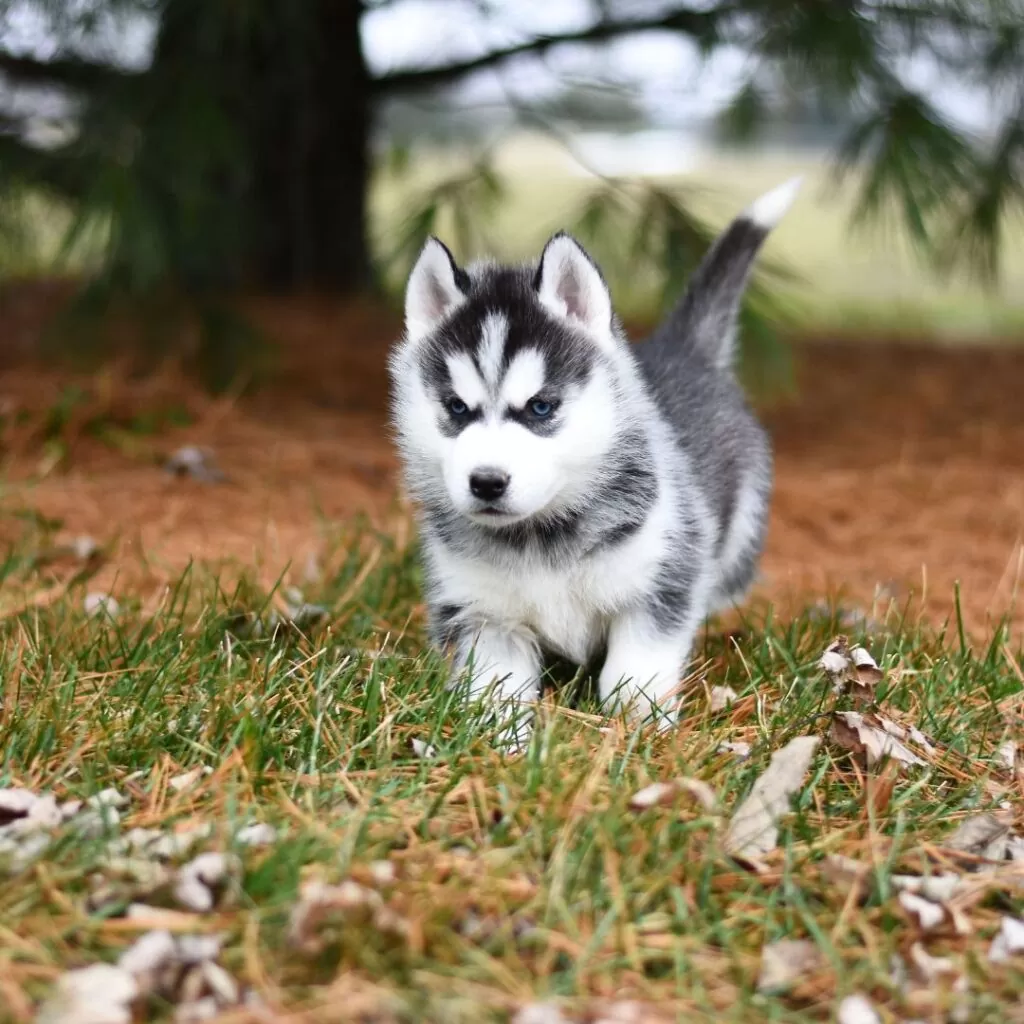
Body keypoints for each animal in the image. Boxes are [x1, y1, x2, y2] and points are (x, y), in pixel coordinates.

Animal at [387, 180, 794, 749]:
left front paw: (639, 733)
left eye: (540, 407)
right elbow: (498, 691)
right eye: (457, 408)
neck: (540, 538)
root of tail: (683, 350)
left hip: (737, 542)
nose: (487, 482)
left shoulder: (660, 585)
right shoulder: (485, 615)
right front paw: (502, 749)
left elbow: (636, 670)